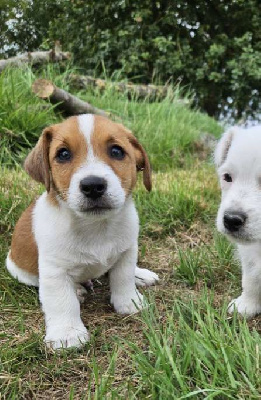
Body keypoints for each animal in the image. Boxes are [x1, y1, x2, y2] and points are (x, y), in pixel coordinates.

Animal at [6, 114, 157, 348]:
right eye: (63, 154)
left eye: (116, 151)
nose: (93, 185)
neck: (95, 227)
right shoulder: (54, 270)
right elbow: (61, 301)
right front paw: (67, 332)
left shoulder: (128, 250)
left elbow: (123, 277)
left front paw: (129, 301)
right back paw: (77, 289)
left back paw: (140, 275)